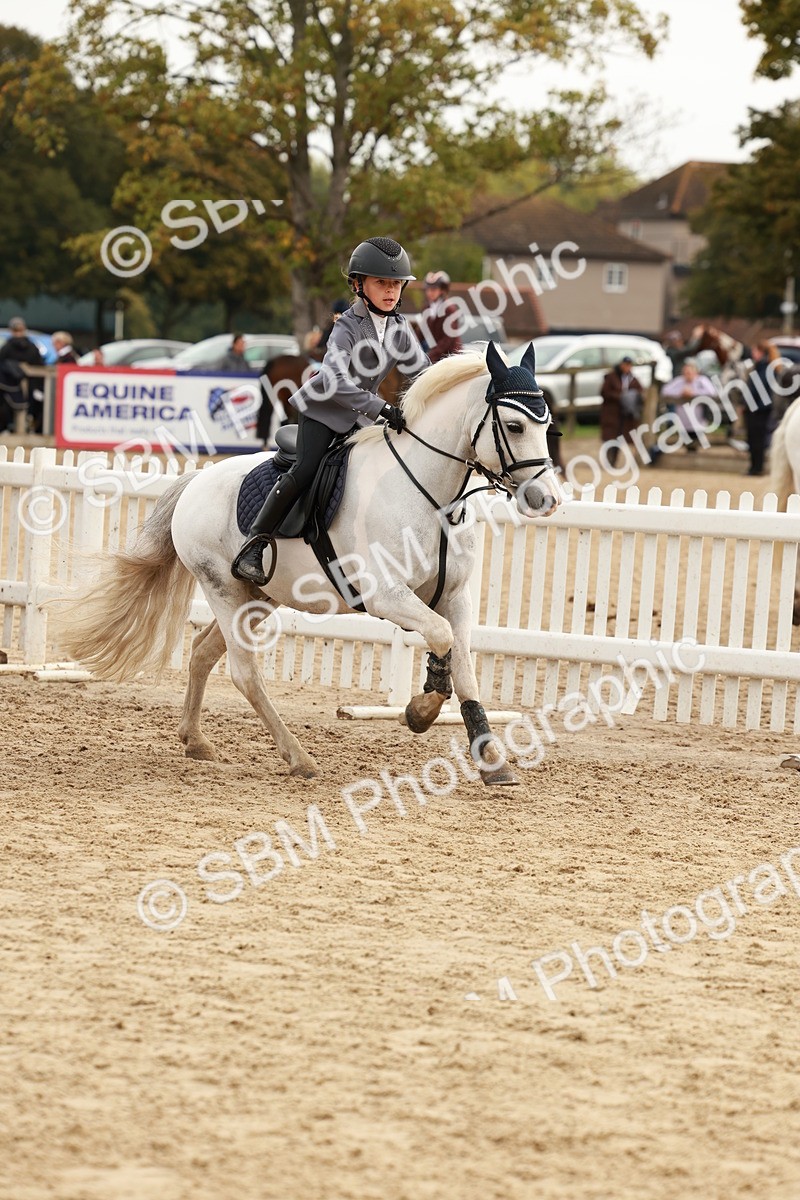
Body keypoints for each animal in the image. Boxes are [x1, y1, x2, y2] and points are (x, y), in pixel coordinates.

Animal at [54, 342, 563, 786]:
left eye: (548, 425)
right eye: (515, 427)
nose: (547, 499)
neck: (431, 494)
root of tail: (197, 479)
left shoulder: (455, 597)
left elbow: (466, 668)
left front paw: (492, 760)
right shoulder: (386, 596)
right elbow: (440, 638)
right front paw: (420, 712)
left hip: (255, 598)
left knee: (202, 653)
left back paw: (196, 741)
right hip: (223, 589)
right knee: (244, 674)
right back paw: (298, 757)